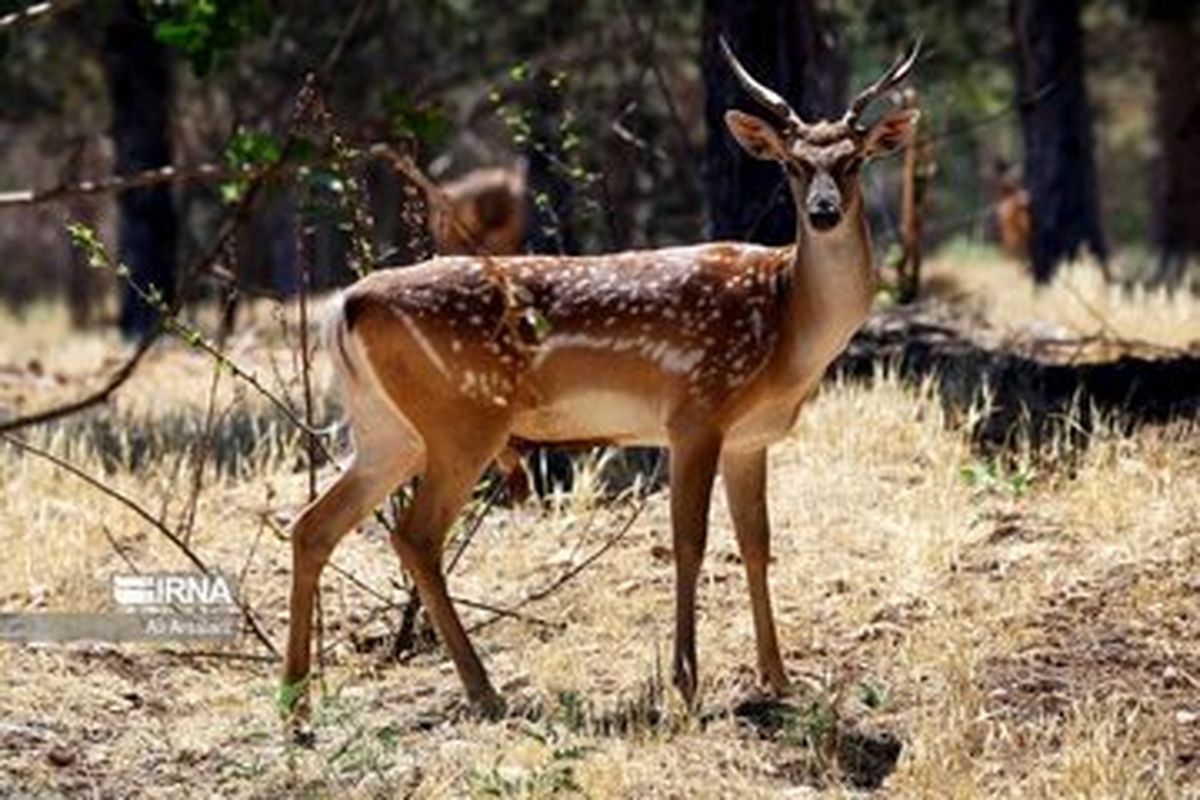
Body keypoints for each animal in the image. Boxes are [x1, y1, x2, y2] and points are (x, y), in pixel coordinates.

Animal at [285, 38, 921, 724]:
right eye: (793, 165)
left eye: (852, 160)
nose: (824, 212)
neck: (787, 326)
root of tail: (343, 306)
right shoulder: (696, 411)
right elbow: (690, 541)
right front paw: (685, 681)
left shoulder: (751, 437)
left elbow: (757, 544)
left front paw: (778, 677)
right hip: (462, 418)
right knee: (415, 536)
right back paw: (484, 690)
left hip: (387, 431)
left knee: (313, 526)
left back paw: (297, 701)